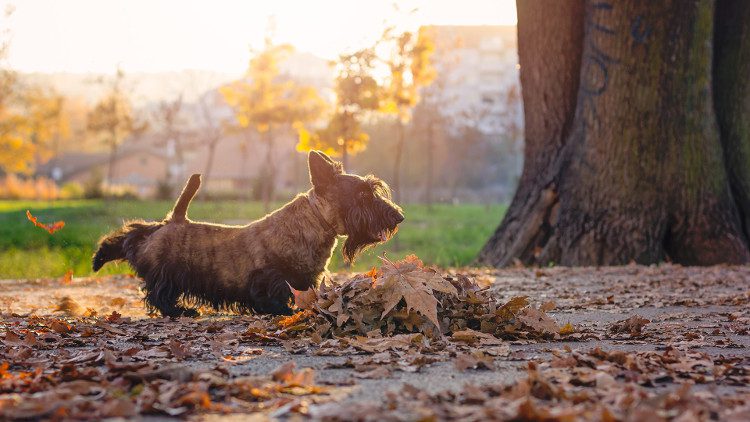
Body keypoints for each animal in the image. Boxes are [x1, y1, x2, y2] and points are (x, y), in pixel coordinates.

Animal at [92, 152, 406, 316]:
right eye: (362, 194)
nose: (398, 217)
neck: (317, 222)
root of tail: (174, 220)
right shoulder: (271, 279)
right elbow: (273, 298)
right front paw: (284, 311)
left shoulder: (306, 280)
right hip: (166, 270)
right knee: (157, 289)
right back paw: (181, 310)